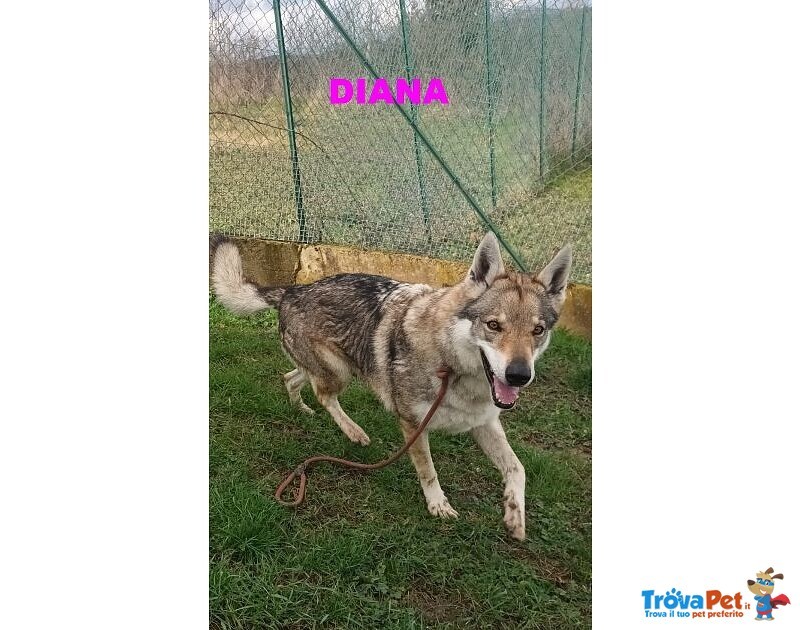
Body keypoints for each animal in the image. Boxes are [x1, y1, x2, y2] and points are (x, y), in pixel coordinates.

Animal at [210, 233, 572, 540]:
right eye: (494, 325)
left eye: (537, 331)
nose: (519, 375)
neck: (452, 366)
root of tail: (291, 290)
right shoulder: (412, 423)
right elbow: (428, 471)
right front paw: (438, 505)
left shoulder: (483, 423)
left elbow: (517, 469)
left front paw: (515, 515)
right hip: (339, 373)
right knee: (324, 395)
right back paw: (355, 432)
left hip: (333, 367)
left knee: (291, 379)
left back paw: (302, 410)